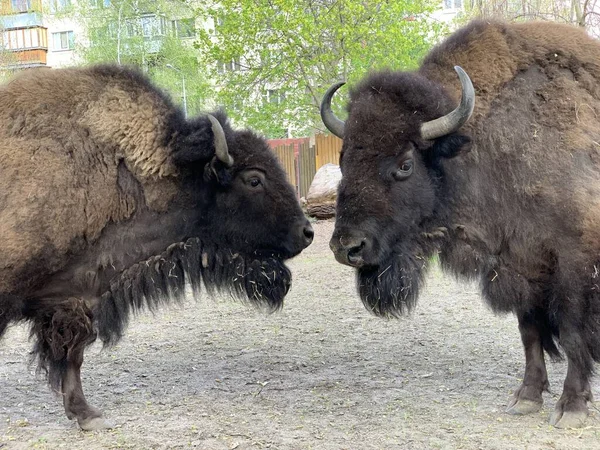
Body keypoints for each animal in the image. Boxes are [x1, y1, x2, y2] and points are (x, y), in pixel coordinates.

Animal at [324, 20, 600, 428]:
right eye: (344, 159)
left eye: (405, 164)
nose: (347, 247)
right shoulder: (518, 262)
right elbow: (530, 331)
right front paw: (526, 398)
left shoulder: (573, 260)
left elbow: (571, 331)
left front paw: (572, 408)